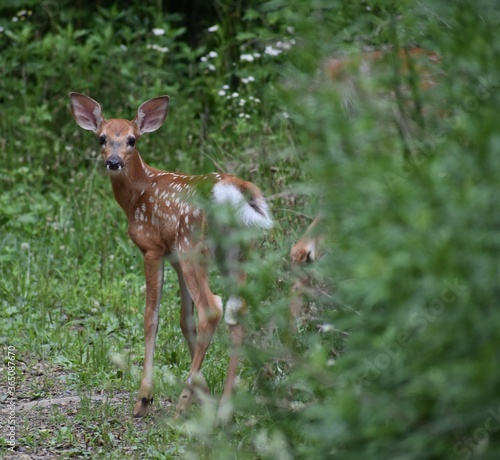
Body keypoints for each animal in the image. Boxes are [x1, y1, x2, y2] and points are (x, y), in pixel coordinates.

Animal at [69, 91, 274, 418]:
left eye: (132, 140)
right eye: (102, 138)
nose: (113, 162)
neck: (137, 194)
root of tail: (235, 191)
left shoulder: (153, 248)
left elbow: (151, 317)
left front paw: (145, 397)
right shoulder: (174, 256)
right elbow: (183, 320)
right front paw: (204, 391)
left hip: (193, 243)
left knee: (212, 308)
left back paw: (181, 405)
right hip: (236, 249)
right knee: (236, 310)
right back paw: (225, 408)